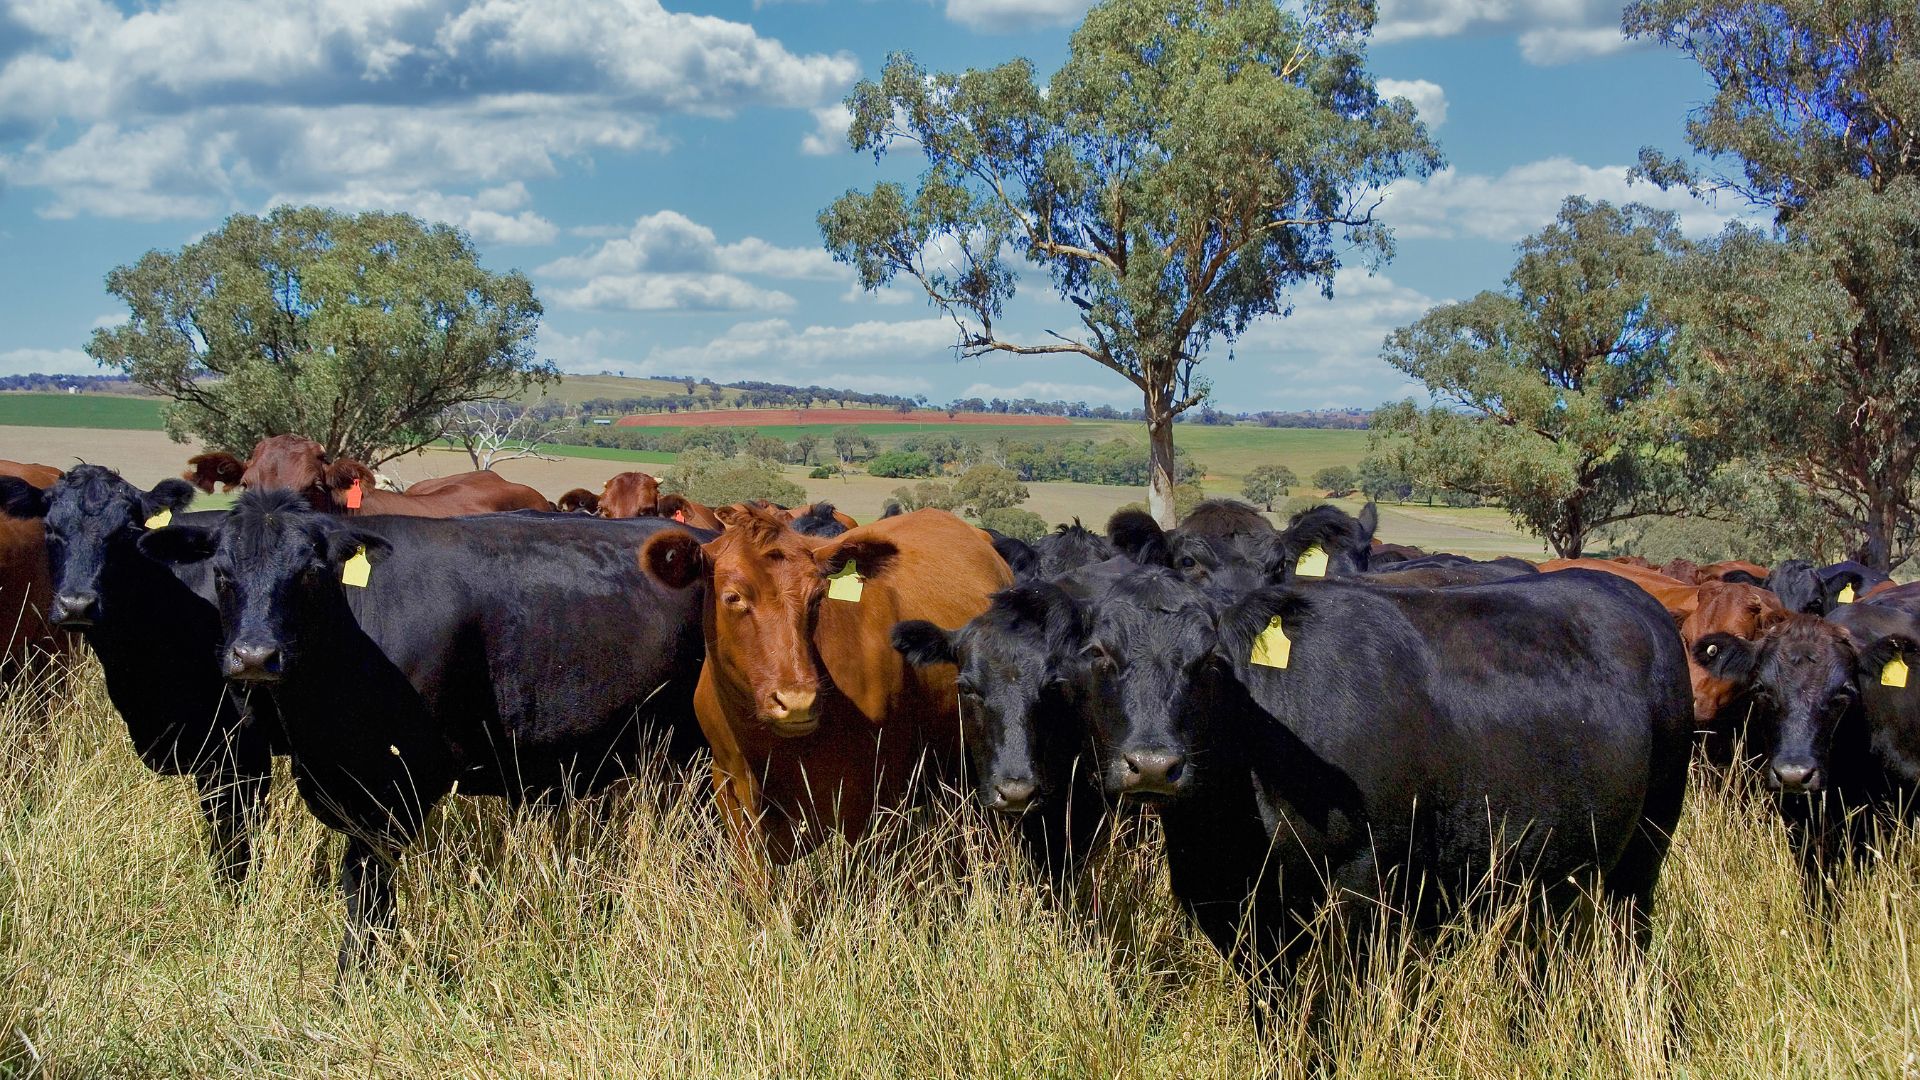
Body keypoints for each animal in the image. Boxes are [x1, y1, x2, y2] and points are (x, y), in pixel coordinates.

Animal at [138, 493, 709, 975]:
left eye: (310, 573)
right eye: (221, 573)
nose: (255, 656)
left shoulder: (402, 782)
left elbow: (367, 883)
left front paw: (356, 974)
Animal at [1046, 565, 1690, 1007]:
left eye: (1208, 661)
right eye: (1097, 652)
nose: (1154, 764)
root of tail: (1626, 592)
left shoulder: (1366, 882)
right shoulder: (1235, 909)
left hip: (1647, 847)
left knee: (1631, 939)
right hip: (1551, 873)